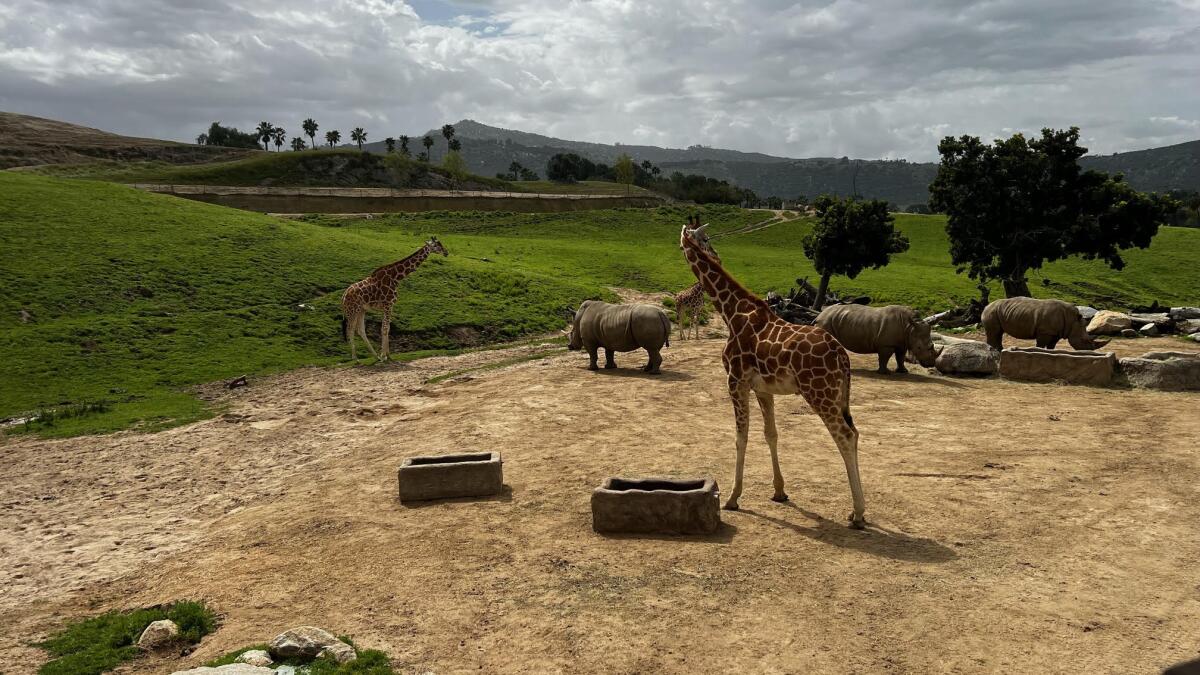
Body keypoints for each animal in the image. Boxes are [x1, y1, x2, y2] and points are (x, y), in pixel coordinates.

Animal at [681, 214, 868, 526]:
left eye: (705, 238)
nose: (716, 256)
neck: (731, 313)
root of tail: (842, 356)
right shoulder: (762, 389)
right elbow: (771, 434)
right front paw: (779, 491)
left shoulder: (735, 381)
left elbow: (740, 437)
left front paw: (733, 497)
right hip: (839, 395)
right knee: (854, 432)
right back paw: (857, 510)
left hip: (820, 393)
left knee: (846, 435)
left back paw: (858, 512)